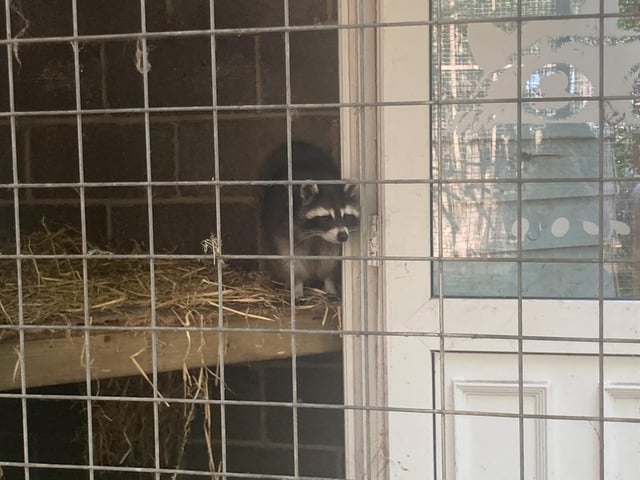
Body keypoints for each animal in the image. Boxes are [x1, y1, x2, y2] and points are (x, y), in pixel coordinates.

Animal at [260, 141, 359, 299]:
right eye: (326, 218)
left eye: (346, 216)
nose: (343, 236)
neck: (316, 235)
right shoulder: (281, 223)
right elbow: (289, 257)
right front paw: (297, 284)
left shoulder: (331, 241)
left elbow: (330, 259)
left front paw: (329, 282)